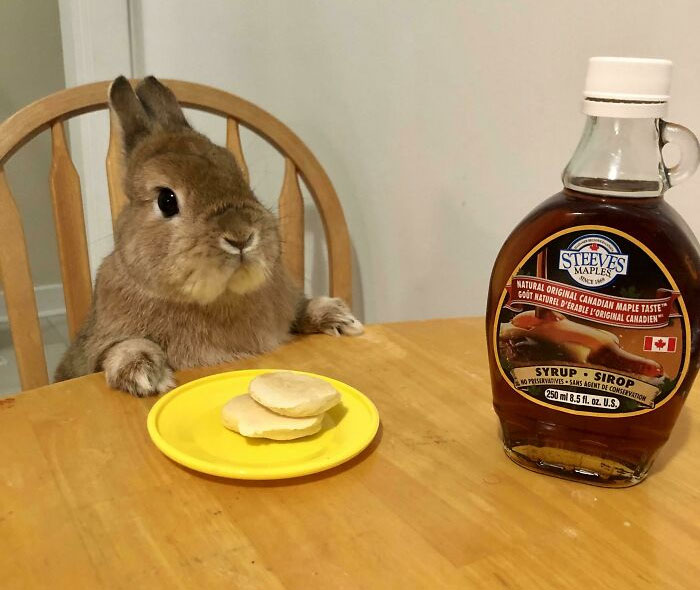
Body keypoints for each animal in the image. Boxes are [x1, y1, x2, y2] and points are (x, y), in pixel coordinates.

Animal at [53, 75, 360, 398]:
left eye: (239, 178)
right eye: (166, 200)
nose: (240, 236)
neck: (218, 300)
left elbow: (302, 309)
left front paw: (340, 317)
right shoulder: (97, 347)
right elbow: (123, 346)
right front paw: (144, 374)